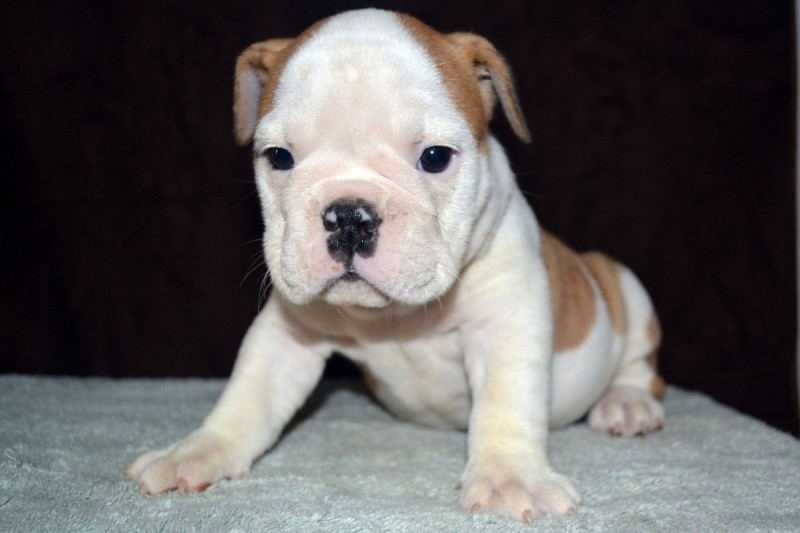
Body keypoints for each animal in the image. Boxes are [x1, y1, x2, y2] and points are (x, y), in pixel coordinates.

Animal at [130, 9, 664, 524]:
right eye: (279, 157)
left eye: (435, 157)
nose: (349, 217)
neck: (393, 317)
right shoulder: (287, 336)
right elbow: (246, 397)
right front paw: (195, 451)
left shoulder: (506, 323)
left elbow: (506, 403)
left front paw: (510, 477)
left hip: (624, 287)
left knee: (640, 364)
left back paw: (628, 404)